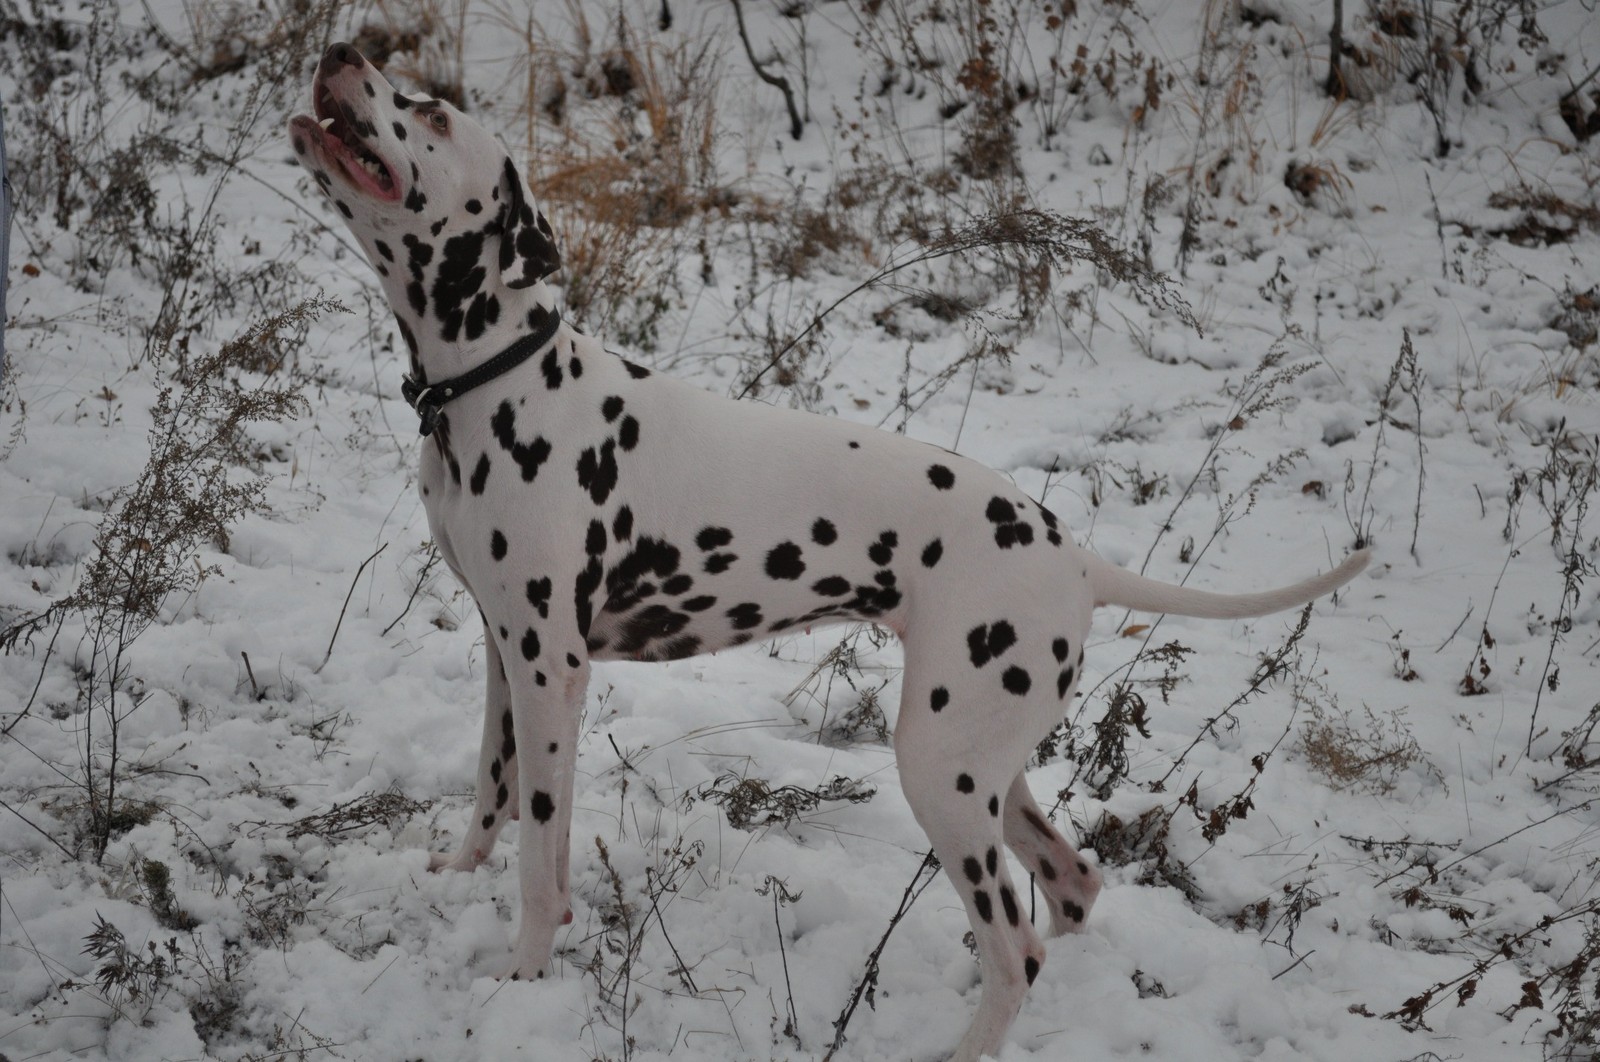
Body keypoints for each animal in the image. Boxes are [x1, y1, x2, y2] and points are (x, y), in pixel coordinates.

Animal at [294, 41, 1369, 1062]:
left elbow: (540, 849)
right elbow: (493, 789)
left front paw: (520, 978)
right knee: (1072, 887)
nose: (342, 47)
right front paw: (454, 877)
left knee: (1014, 943)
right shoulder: (504, 652)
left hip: (939, 772)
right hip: (984, 767)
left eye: (430, 113)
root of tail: (1076, 557)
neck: (499, 381)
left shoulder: (551, 667)